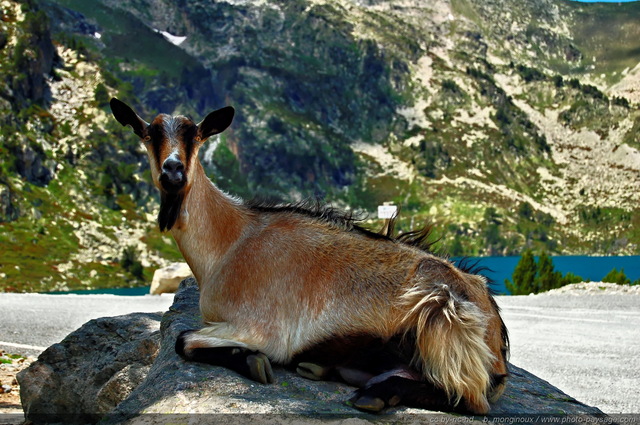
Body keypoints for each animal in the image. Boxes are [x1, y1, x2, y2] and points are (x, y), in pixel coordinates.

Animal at [110, 97, 510, 412]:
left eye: (195, 135)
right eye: (149, 135)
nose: (173, 170)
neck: (230, 242)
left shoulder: (262, 329)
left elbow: (184, 340)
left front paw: (253, 362)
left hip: (441, 312)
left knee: (469, 398)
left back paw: (375, 394)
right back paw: (326, 369)